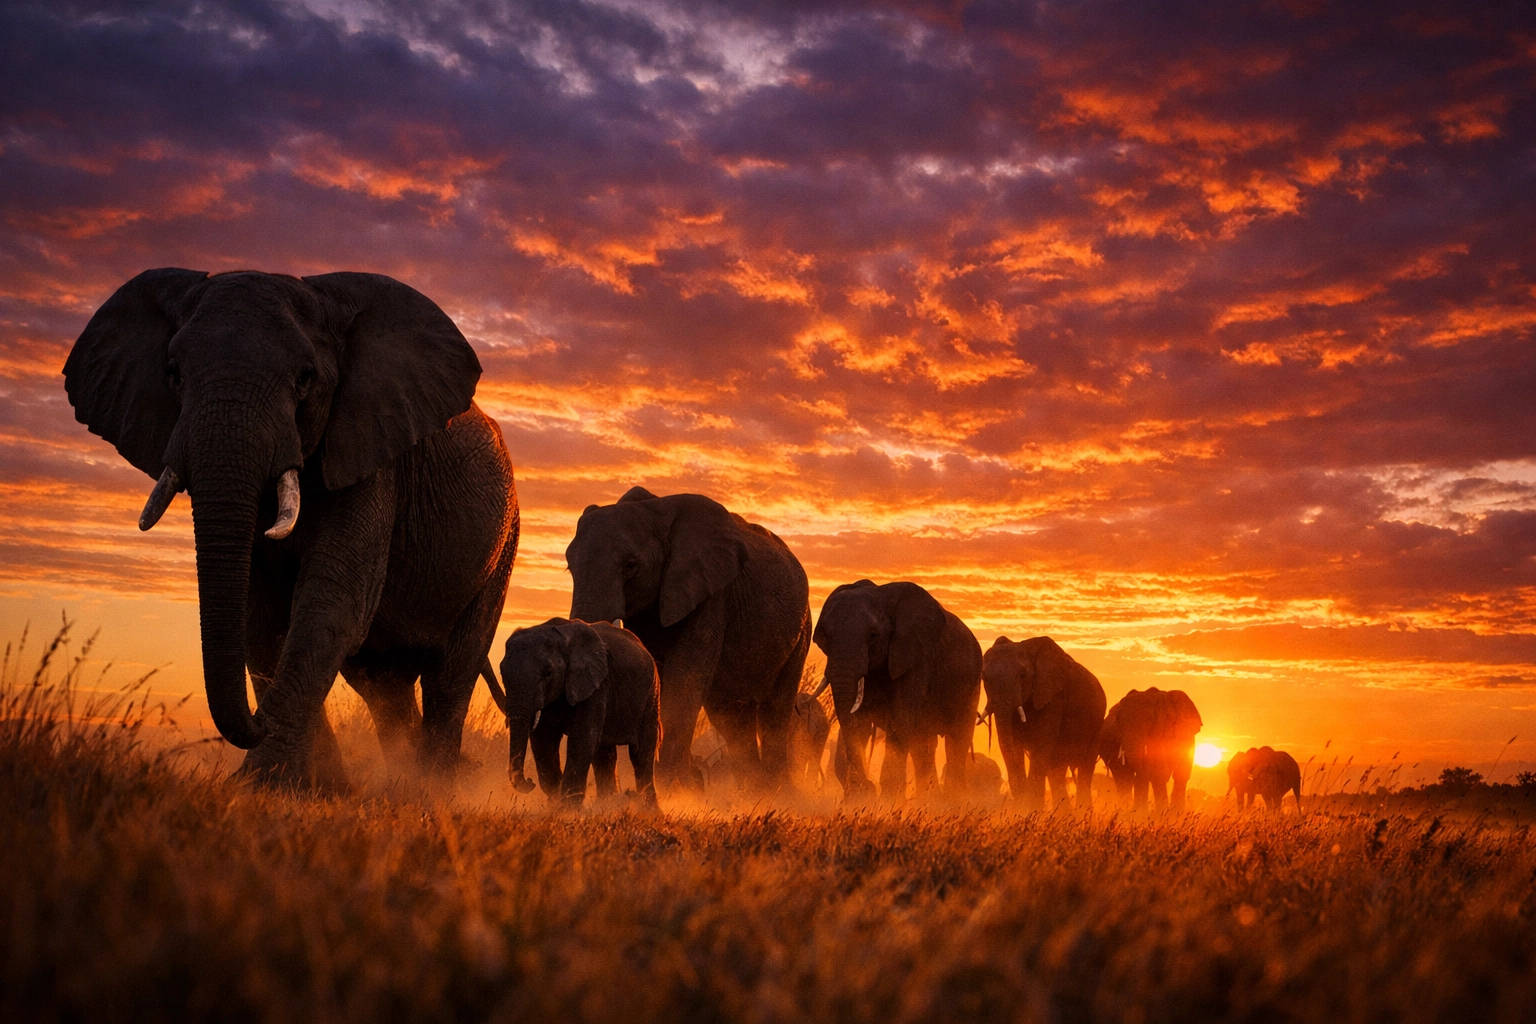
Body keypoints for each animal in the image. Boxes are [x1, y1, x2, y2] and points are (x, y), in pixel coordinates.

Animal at [64, 269, 518, 789]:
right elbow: (259, 616)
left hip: (503, 546)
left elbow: (330, 604)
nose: (255, 722)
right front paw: (312, 786)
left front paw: (268, 782)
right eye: (172, 373)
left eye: (306, 379)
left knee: (452, 669)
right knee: (382, 684)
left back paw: (431, 788)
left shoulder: (374, 462)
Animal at [496, 618, 660, 809]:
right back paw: (607, 804)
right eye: (502, 673)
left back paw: (648, 810)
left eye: (548, 673)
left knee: (641, 754)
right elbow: (543, 739)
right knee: (604, 755)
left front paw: (567, 809)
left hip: (651, 695)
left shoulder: (596, 684)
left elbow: (582, 738)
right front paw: (554, 803)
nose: (530, 782)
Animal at [566, 488, 811, 794]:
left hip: (801, 631)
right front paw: (688, 785)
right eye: (569, 565)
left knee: (774, 710)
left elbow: (685, 678)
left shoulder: (712, 594)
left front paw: (674, 789)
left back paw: (776, 792)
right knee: (729, 716)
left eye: (631, 566)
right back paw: (751, 790)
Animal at [811, 580, 982, 802]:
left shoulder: (915, 660)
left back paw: (953, 800)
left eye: (873, 636)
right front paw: (860, 798)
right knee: (923, 746)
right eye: (825, 636)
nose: (868, 786)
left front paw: (887, 800)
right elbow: (858, 723)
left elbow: (899, 720)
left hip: (972, 685)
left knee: (957, 742)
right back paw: (930, 801)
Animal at [981, 636, 1106, 811]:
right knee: (1056, 773)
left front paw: (1031, 808)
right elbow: (1015, 744)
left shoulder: (1053, 697)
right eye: (984, 679)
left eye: (1023, 675)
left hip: (1097, 726)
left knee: (1084, 769)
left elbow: (1041, 745)